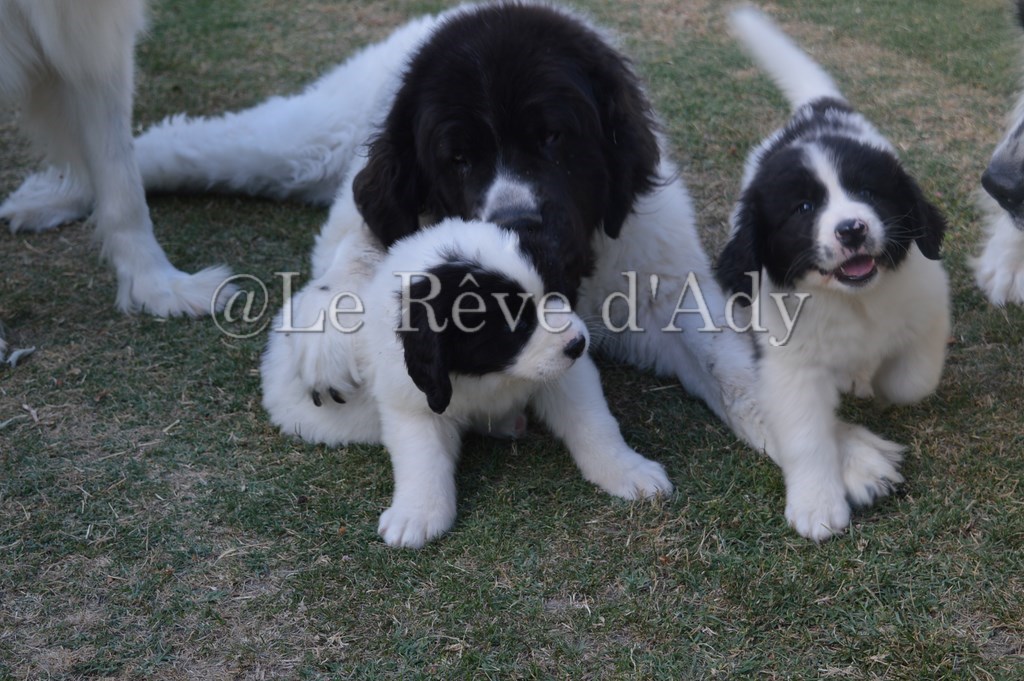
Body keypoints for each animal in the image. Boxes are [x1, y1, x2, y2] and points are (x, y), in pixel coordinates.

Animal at [41, 1, 768, 450]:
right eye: (459, 158)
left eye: (555, 138)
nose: (519, 222)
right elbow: (367, 248)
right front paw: (330, 330)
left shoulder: (660, 280)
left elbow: (731, 372)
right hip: (317, 138)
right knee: (201, 145)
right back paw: (64, 188)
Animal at [261, 215, 673, 548]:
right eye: (515, 323)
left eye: (557, 292)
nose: (577, 343)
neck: (489, 372)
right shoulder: (413, 400)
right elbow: (422, 456)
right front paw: (418, 514)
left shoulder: (567, 375)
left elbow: (594, 425)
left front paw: (627, 471)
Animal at [716, 7, 950, 541]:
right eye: (803, 208)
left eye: (867, 192)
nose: (851, 229)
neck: (853, 299)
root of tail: (816, 110)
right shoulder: (790, 365)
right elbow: (805, 435)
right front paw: (816, 504)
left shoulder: (929, 307)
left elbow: (912, 380)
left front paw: (878, 380)